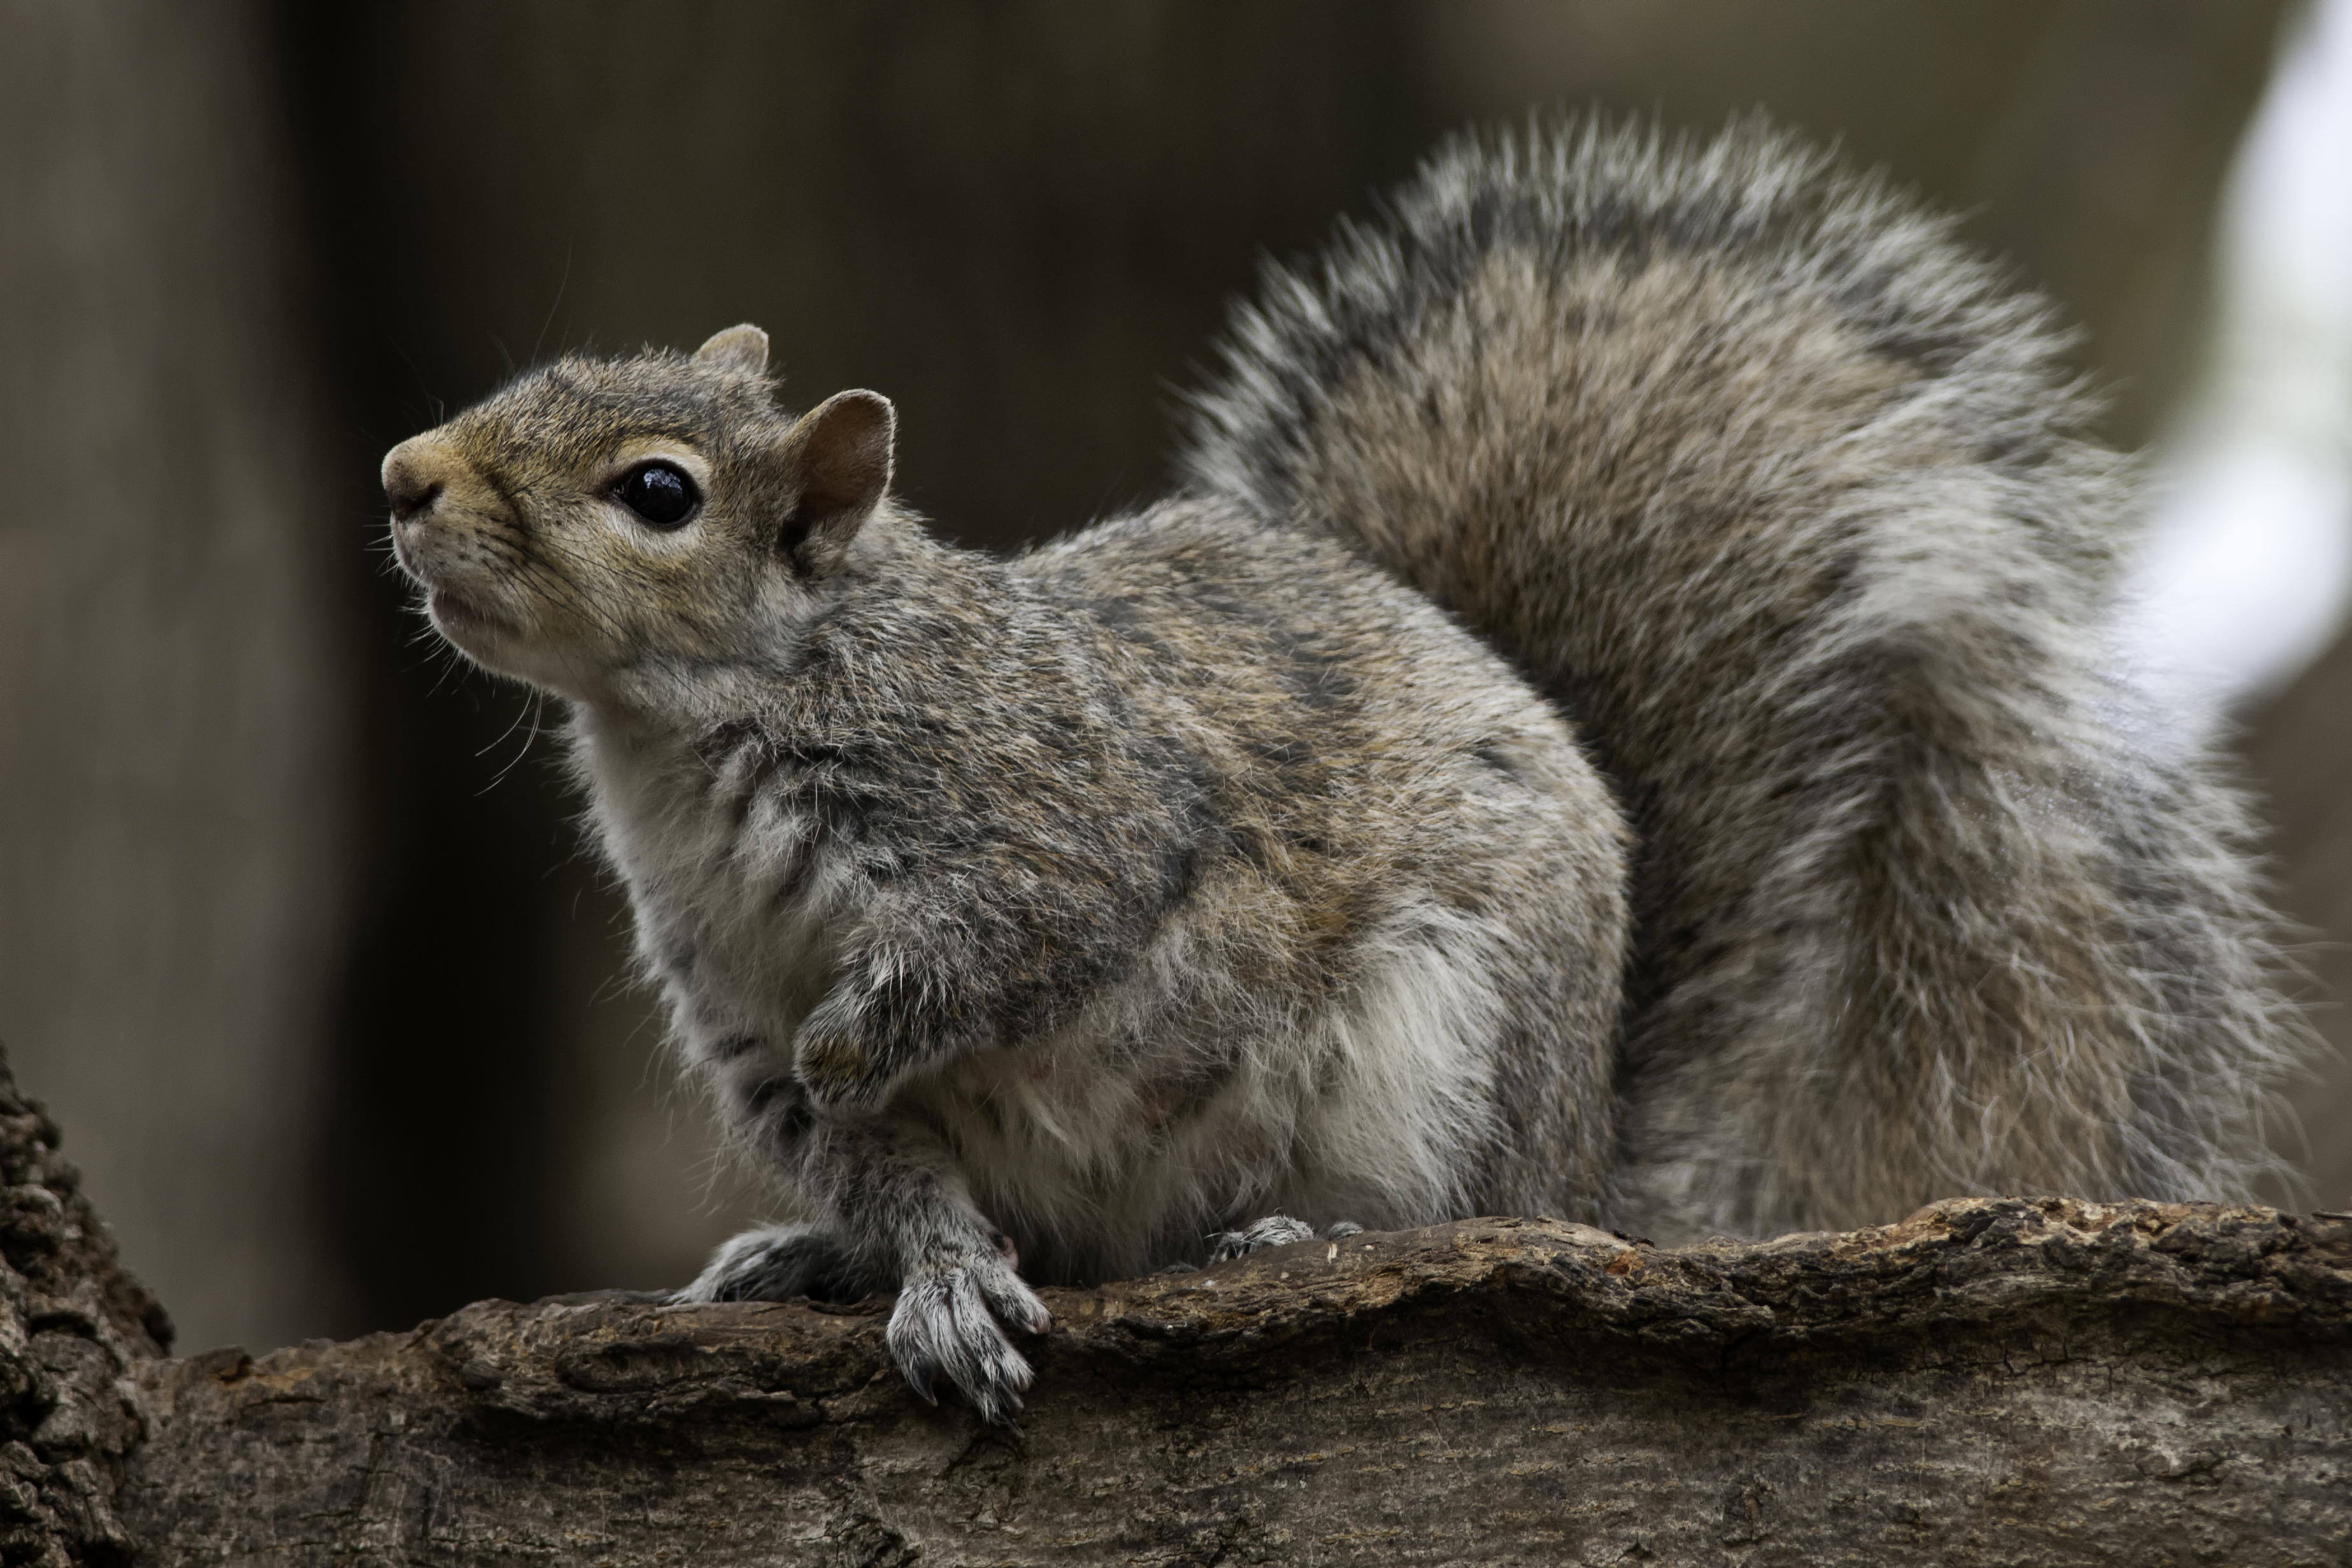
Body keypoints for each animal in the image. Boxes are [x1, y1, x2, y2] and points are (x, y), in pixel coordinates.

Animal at [382, 118, 2303, 1425]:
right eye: (558, 371)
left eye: (655, 492)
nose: (402, 474)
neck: (698, 737)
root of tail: (1582, 1155)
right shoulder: (729, 998)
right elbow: (886, 1165)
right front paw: (921, 1270)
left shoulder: (1061, 815)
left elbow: (1006, 954)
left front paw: (866, 1047)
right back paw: (809, 1256)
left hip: (1443, 1055)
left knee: (1449, 1222)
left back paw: (1301, 1242)